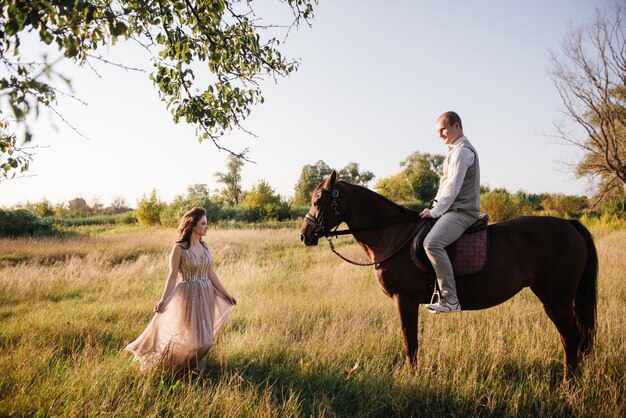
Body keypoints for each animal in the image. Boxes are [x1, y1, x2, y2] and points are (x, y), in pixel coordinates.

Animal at [300, 171, 596, 382]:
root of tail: (569, 225)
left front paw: (412, 379)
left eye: (317, 201)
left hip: (556, 299)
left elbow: (410, 342)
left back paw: (568, 386)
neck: (393, 234)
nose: (304, 235)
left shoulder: (405, 300)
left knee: (571, 339)